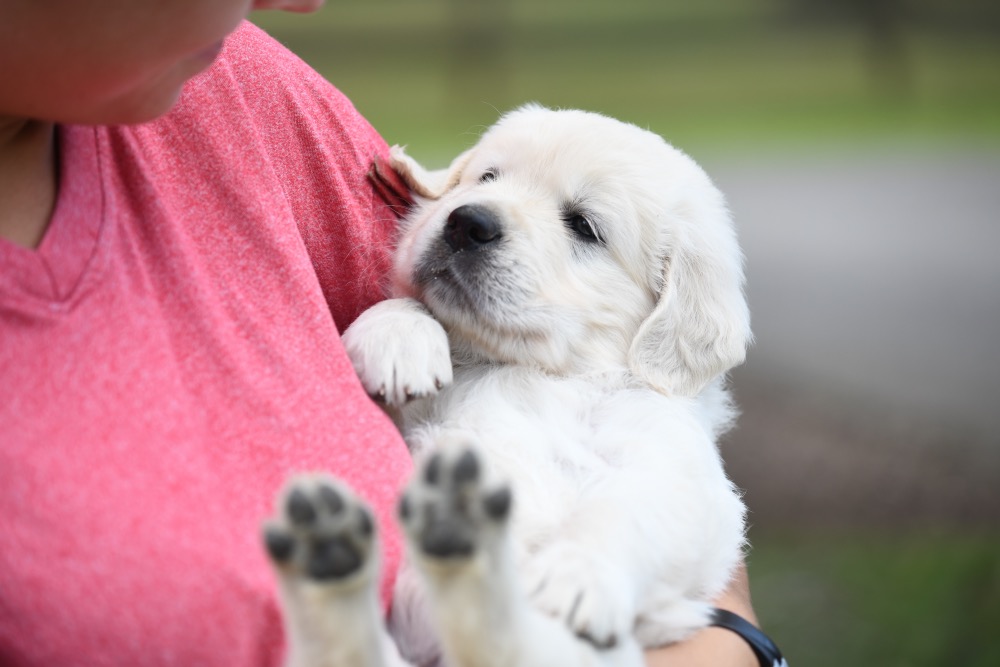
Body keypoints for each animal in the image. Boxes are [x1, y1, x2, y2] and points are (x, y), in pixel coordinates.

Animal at [266, 105, 752, 667]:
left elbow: (629, 512)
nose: (467, 222)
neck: (531, 368)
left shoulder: (681, 473)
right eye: (488, 178)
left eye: (583, 226)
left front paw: (575, 576)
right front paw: (398, 337)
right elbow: (409, 312)